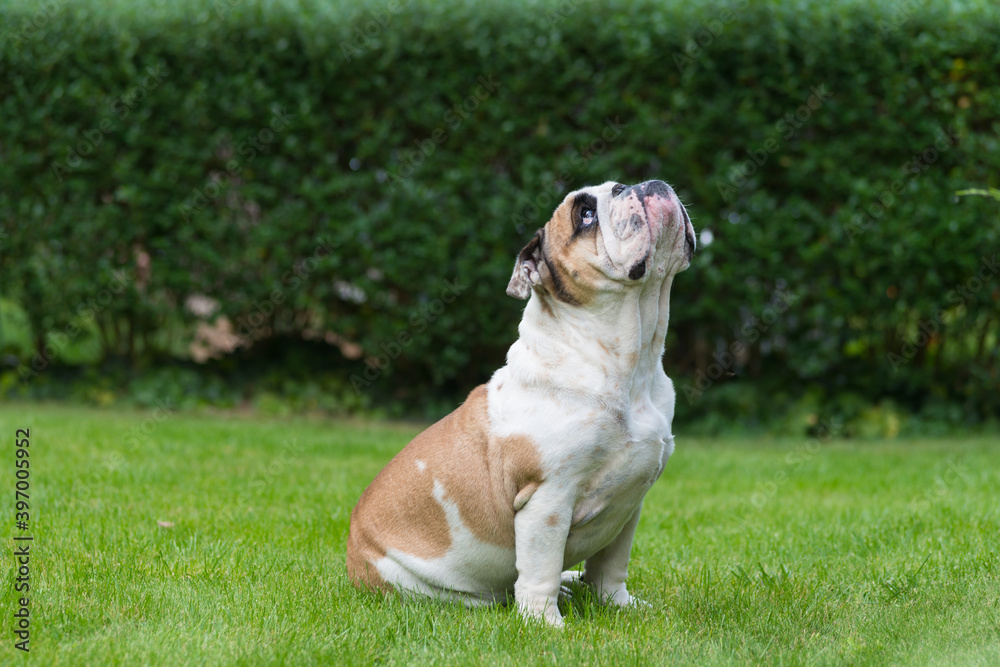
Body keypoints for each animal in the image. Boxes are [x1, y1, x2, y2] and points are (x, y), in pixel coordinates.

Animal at [350, 179, 696, 628]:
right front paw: (545, 623)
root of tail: (352, 559)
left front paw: (617, 604)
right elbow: (540, 568)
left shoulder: (630, 502)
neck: (631, 362)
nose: (637, 184)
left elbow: (611, 565)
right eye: (585, 214)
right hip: (416, 583)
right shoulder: (547, 500)